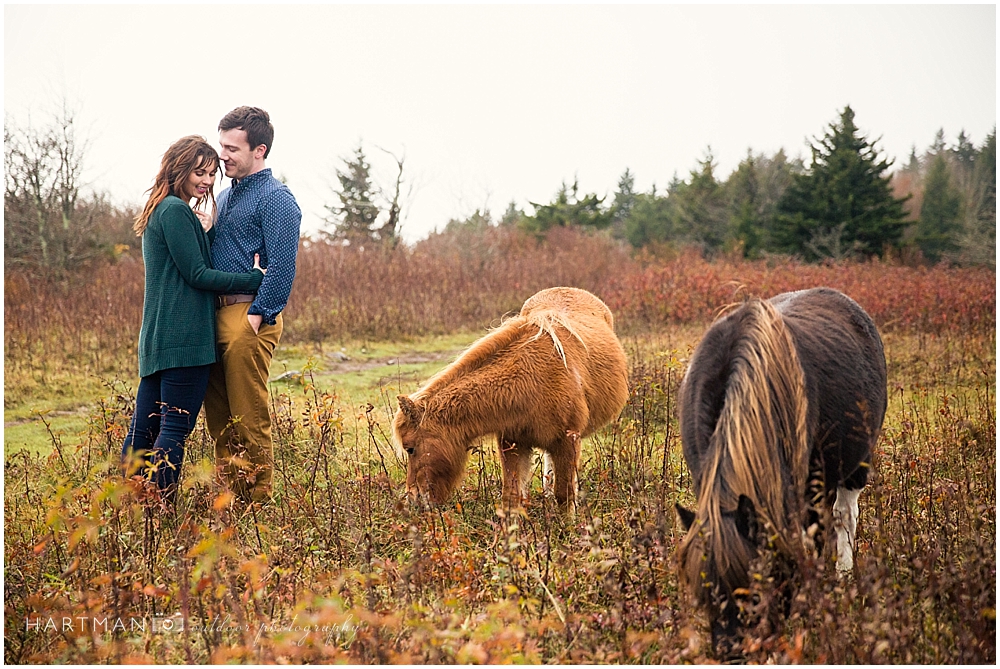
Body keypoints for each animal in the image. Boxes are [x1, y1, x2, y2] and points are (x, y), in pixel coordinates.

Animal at [390, 286, 624, 512]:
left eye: (410, 448)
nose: (413, 500)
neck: (531, 380)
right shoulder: (512, 444)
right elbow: (511, 496)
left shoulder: (567, 442)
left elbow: (564, 495)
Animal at [676, 288, 888, 656]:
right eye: (705, 594)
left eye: (755, 590)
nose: (732, 654)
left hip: (852, 466)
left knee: (843, 517)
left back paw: (842, 577)